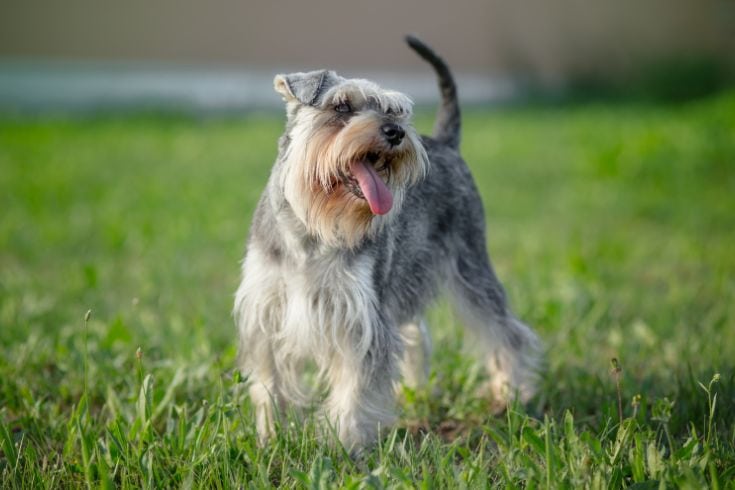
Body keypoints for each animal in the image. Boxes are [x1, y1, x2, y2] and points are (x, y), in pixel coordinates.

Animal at [236, 36, 540, 454]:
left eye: (394, 110)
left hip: (471, 268)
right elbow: (270, 384)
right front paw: (270, 437)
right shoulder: (266, 314)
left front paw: (343, 445)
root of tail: (446, 142)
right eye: (341, 106)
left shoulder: (361, 318)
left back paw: (511, 393)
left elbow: (355, 388)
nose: (395, 131)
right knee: (416, 335)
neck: (311, 230)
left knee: (505, 331)